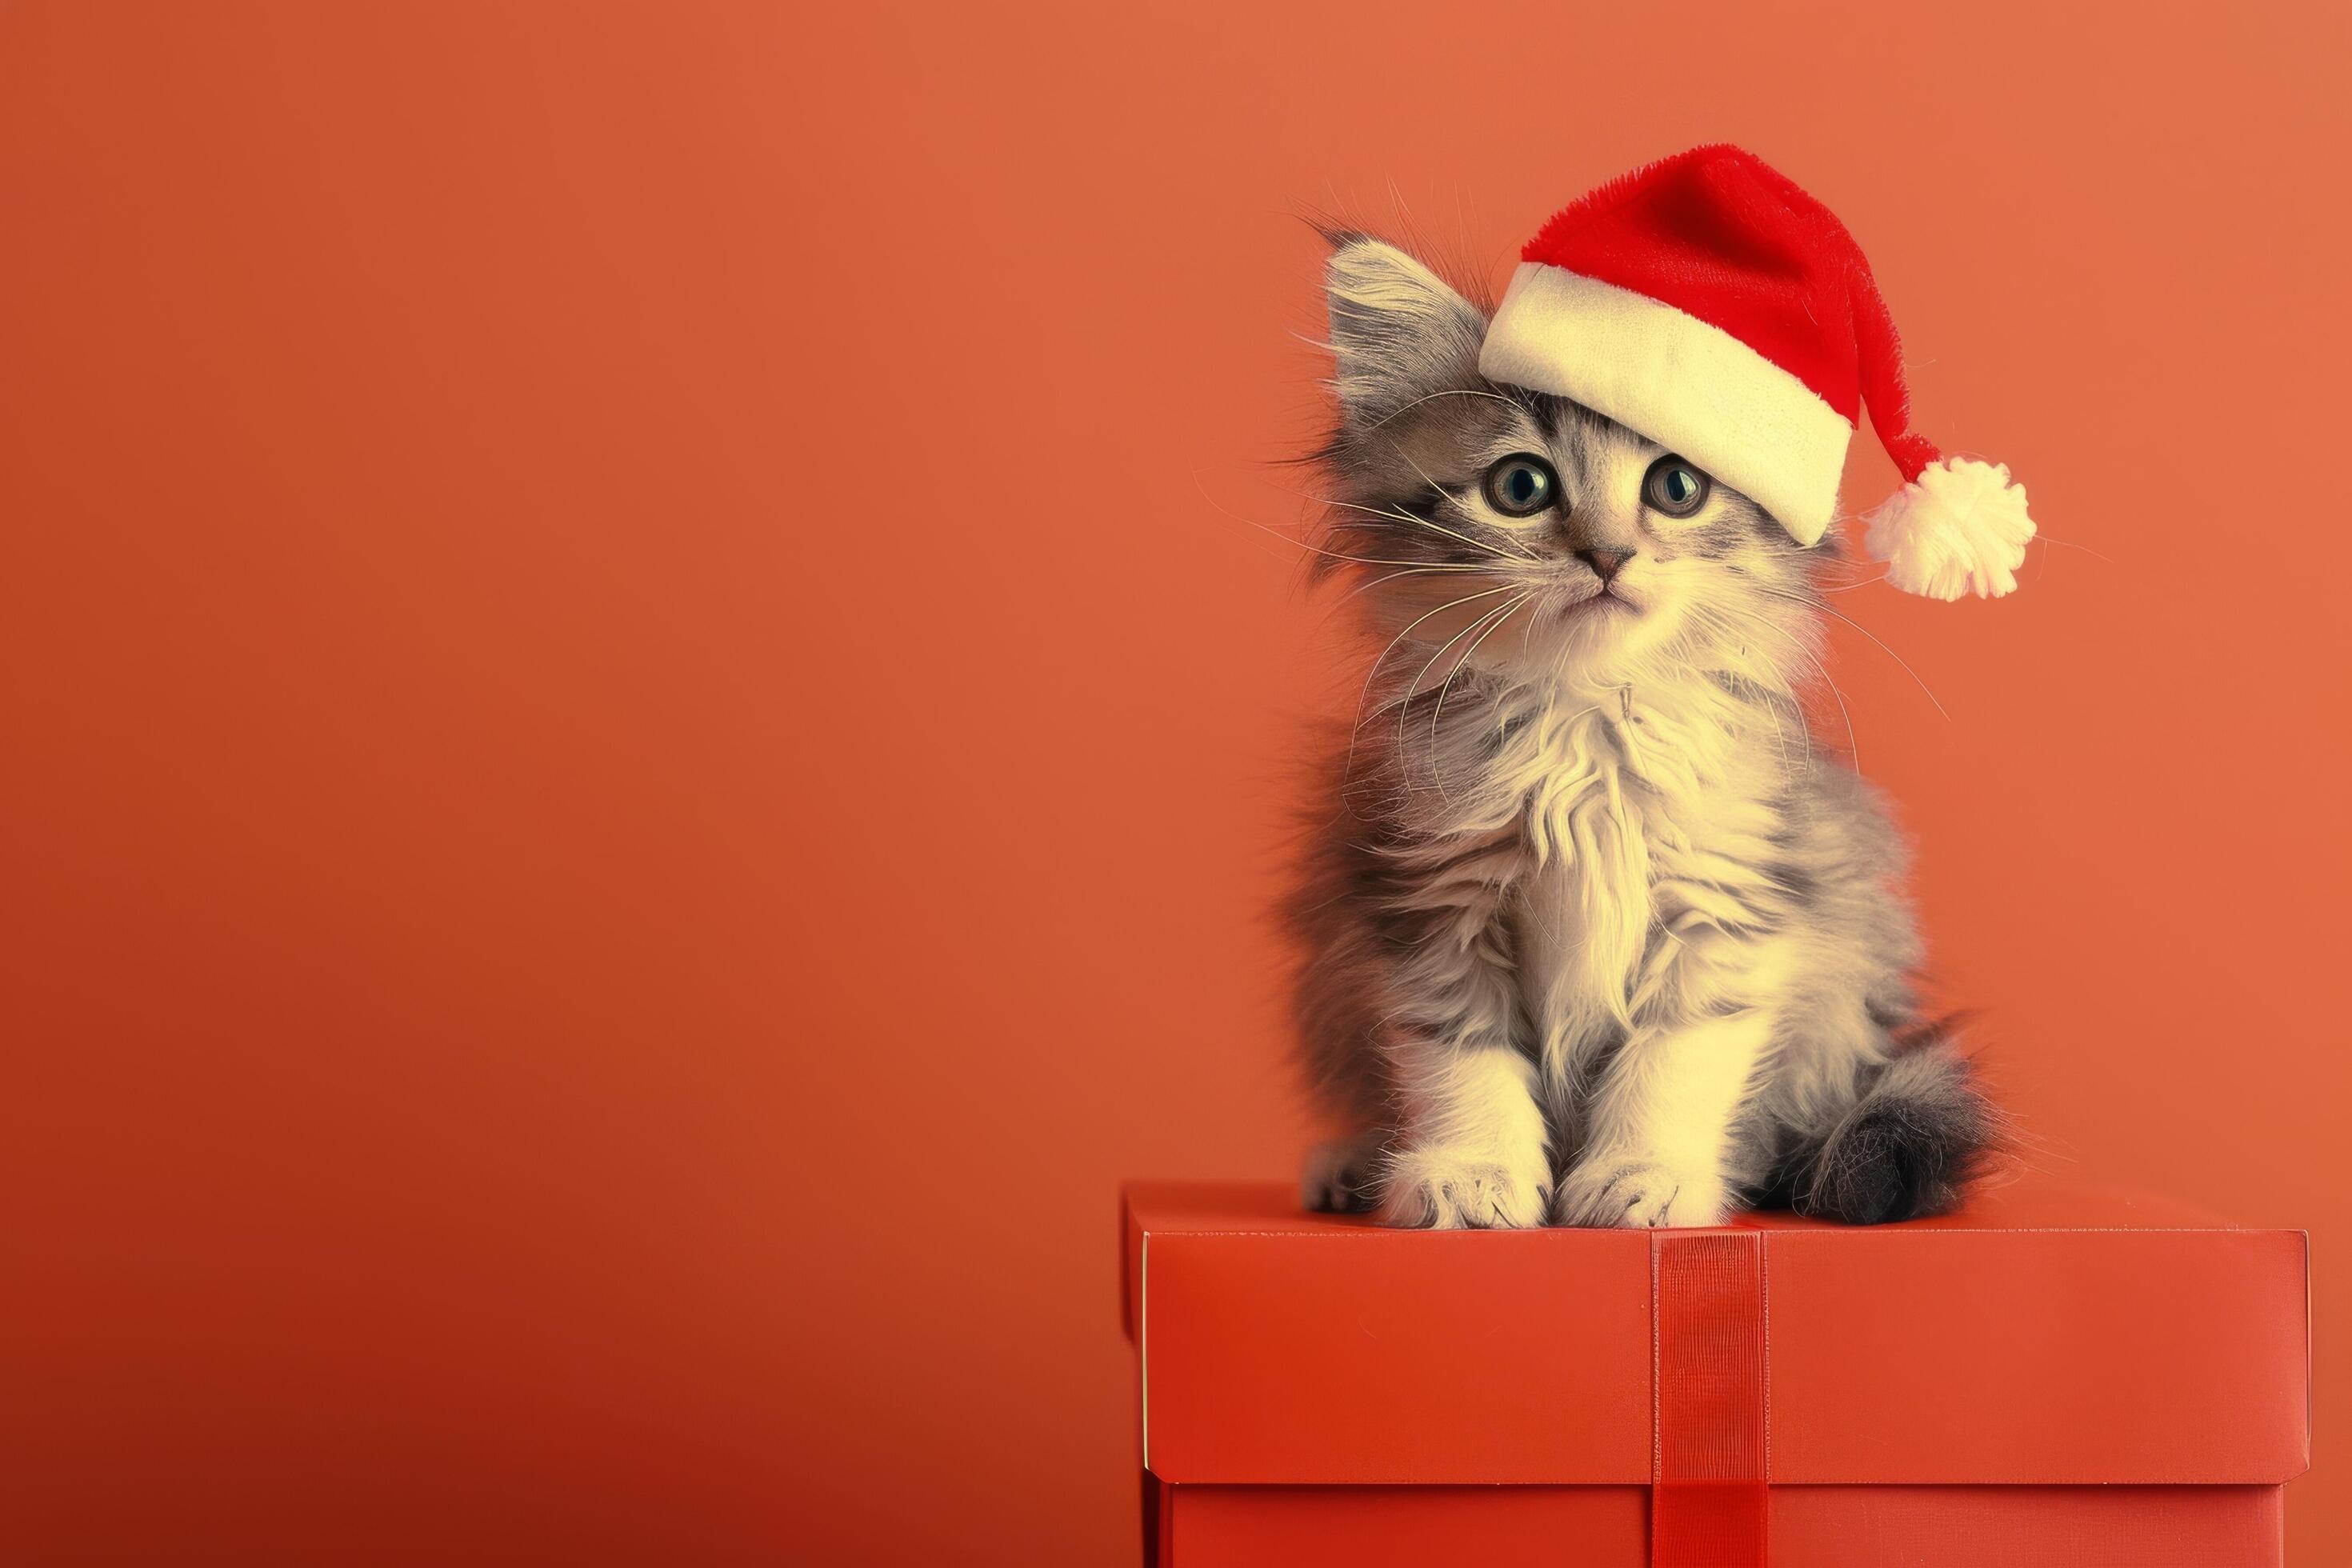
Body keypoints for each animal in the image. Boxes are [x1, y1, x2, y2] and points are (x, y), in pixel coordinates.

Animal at [1298, 239, 1994, 1231]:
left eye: (1676, 487)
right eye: (1521, 486)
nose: (1607, 554)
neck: (1588, 720)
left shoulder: (1728, 904)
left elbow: (1673, 1061)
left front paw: (1644, 1175)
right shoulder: (1430, 899)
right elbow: (1461, 1058)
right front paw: (1472, 1171)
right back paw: (1357, 1163)